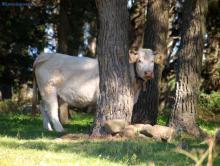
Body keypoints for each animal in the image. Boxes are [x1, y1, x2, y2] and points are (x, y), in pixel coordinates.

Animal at [32, 48, 162, 132]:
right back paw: (59, 129)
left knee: (42, 106)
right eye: (139, 60)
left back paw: (47, 128)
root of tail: (43, 56)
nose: (148, 73)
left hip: (55, 94)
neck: (135, 89)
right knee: (52, 110)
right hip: (48, 89)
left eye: (152, 61)